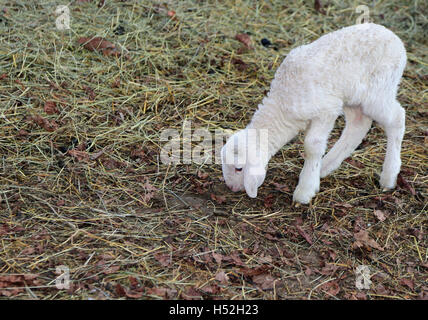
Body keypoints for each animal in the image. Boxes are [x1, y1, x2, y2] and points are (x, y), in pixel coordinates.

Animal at [222, 22, 406, 204]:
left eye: (239, 168)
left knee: (397, 117)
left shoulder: (326, 111)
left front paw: (305, 191)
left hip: (378, 90)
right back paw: (325, 166)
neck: (282, 102)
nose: (231, 188)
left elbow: (312, 146)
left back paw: (389, 177)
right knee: (358, 125)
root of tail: (396, 41)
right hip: (352, 97)